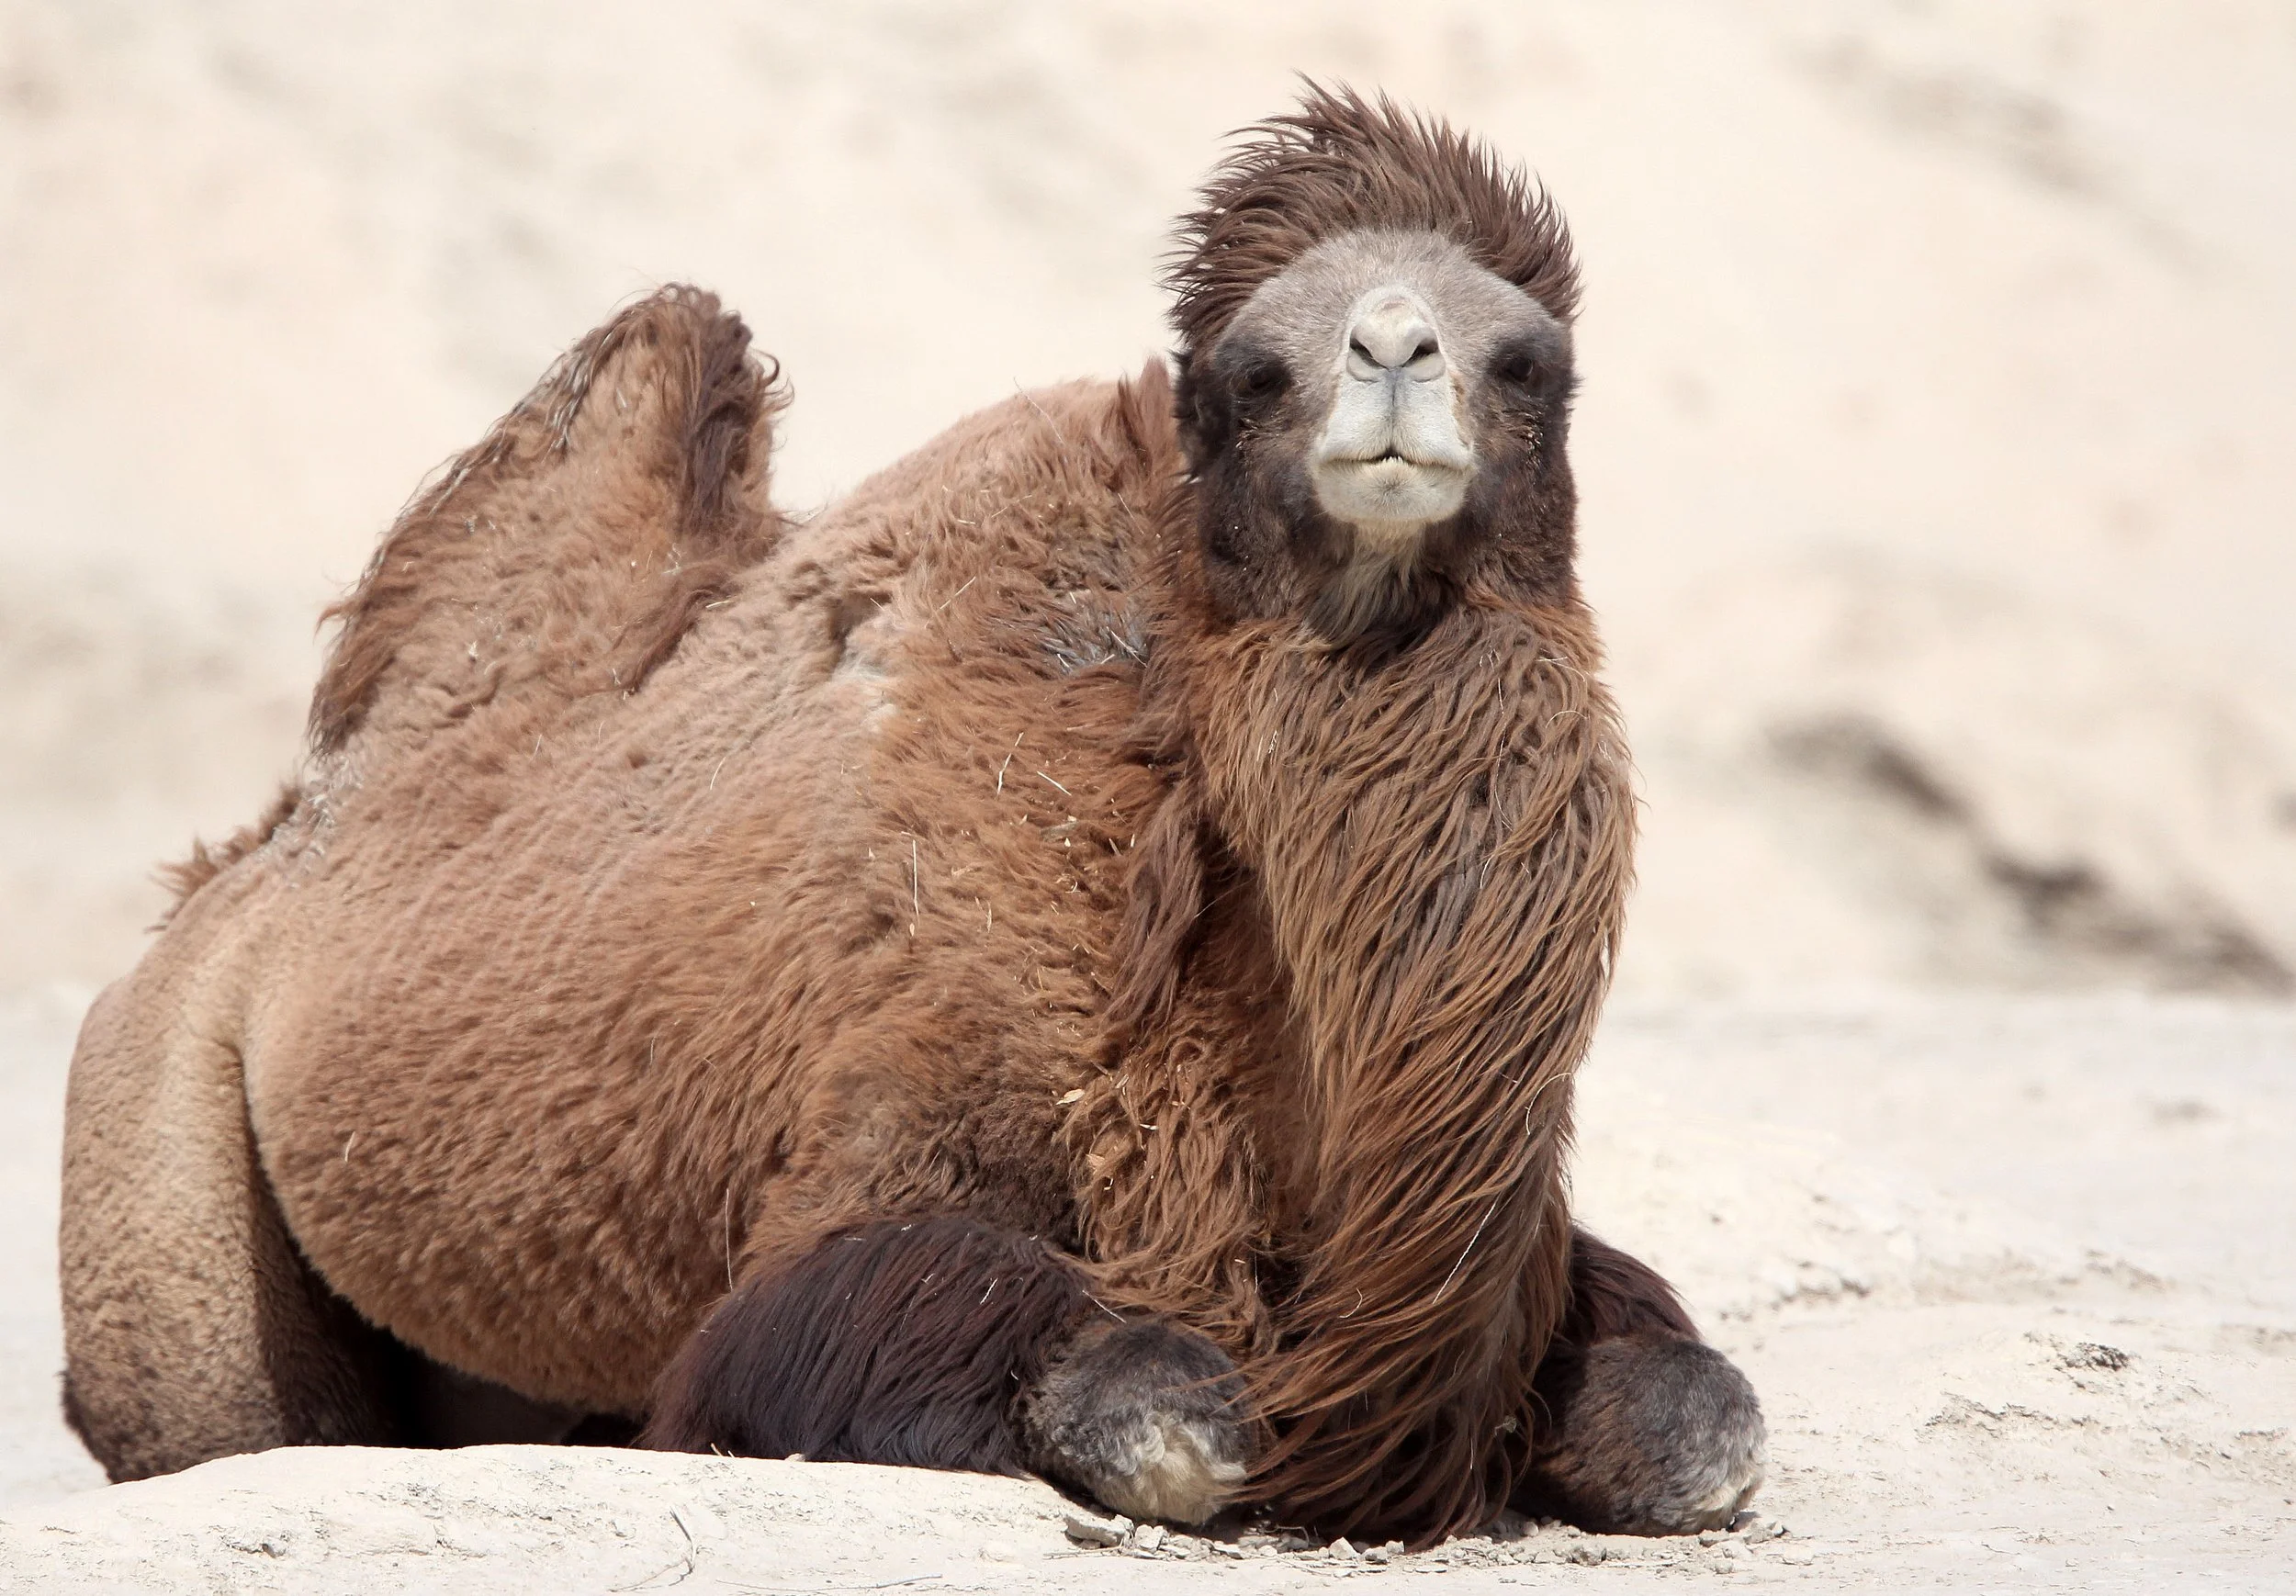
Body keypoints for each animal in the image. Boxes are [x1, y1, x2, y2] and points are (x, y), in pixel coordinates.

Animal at [58, 87, 1764, 1545]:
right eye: (1249, 374)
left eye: (1528, 361)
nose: (1396, 346)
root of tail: (251, 863)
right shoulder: (900, 1104)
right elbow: (1150, 1404)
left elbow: (1706, 1420)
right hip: (160, 1166)